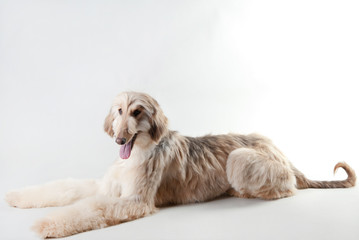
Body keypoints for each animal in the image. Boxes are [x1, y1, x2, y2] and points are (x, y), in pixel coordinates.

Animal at [5, 91, 358, 238]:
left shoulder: (135, 201)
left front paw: (46, 224)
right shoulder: (106, 185)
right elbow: (67, 188)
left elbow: (90, 208)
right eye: (118, 111)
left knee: (287, 188)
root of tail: (282, 152)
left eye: (137, 112)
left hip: (239, 158)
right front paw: (18, 197)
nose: (119, 140)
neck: (139, 152)